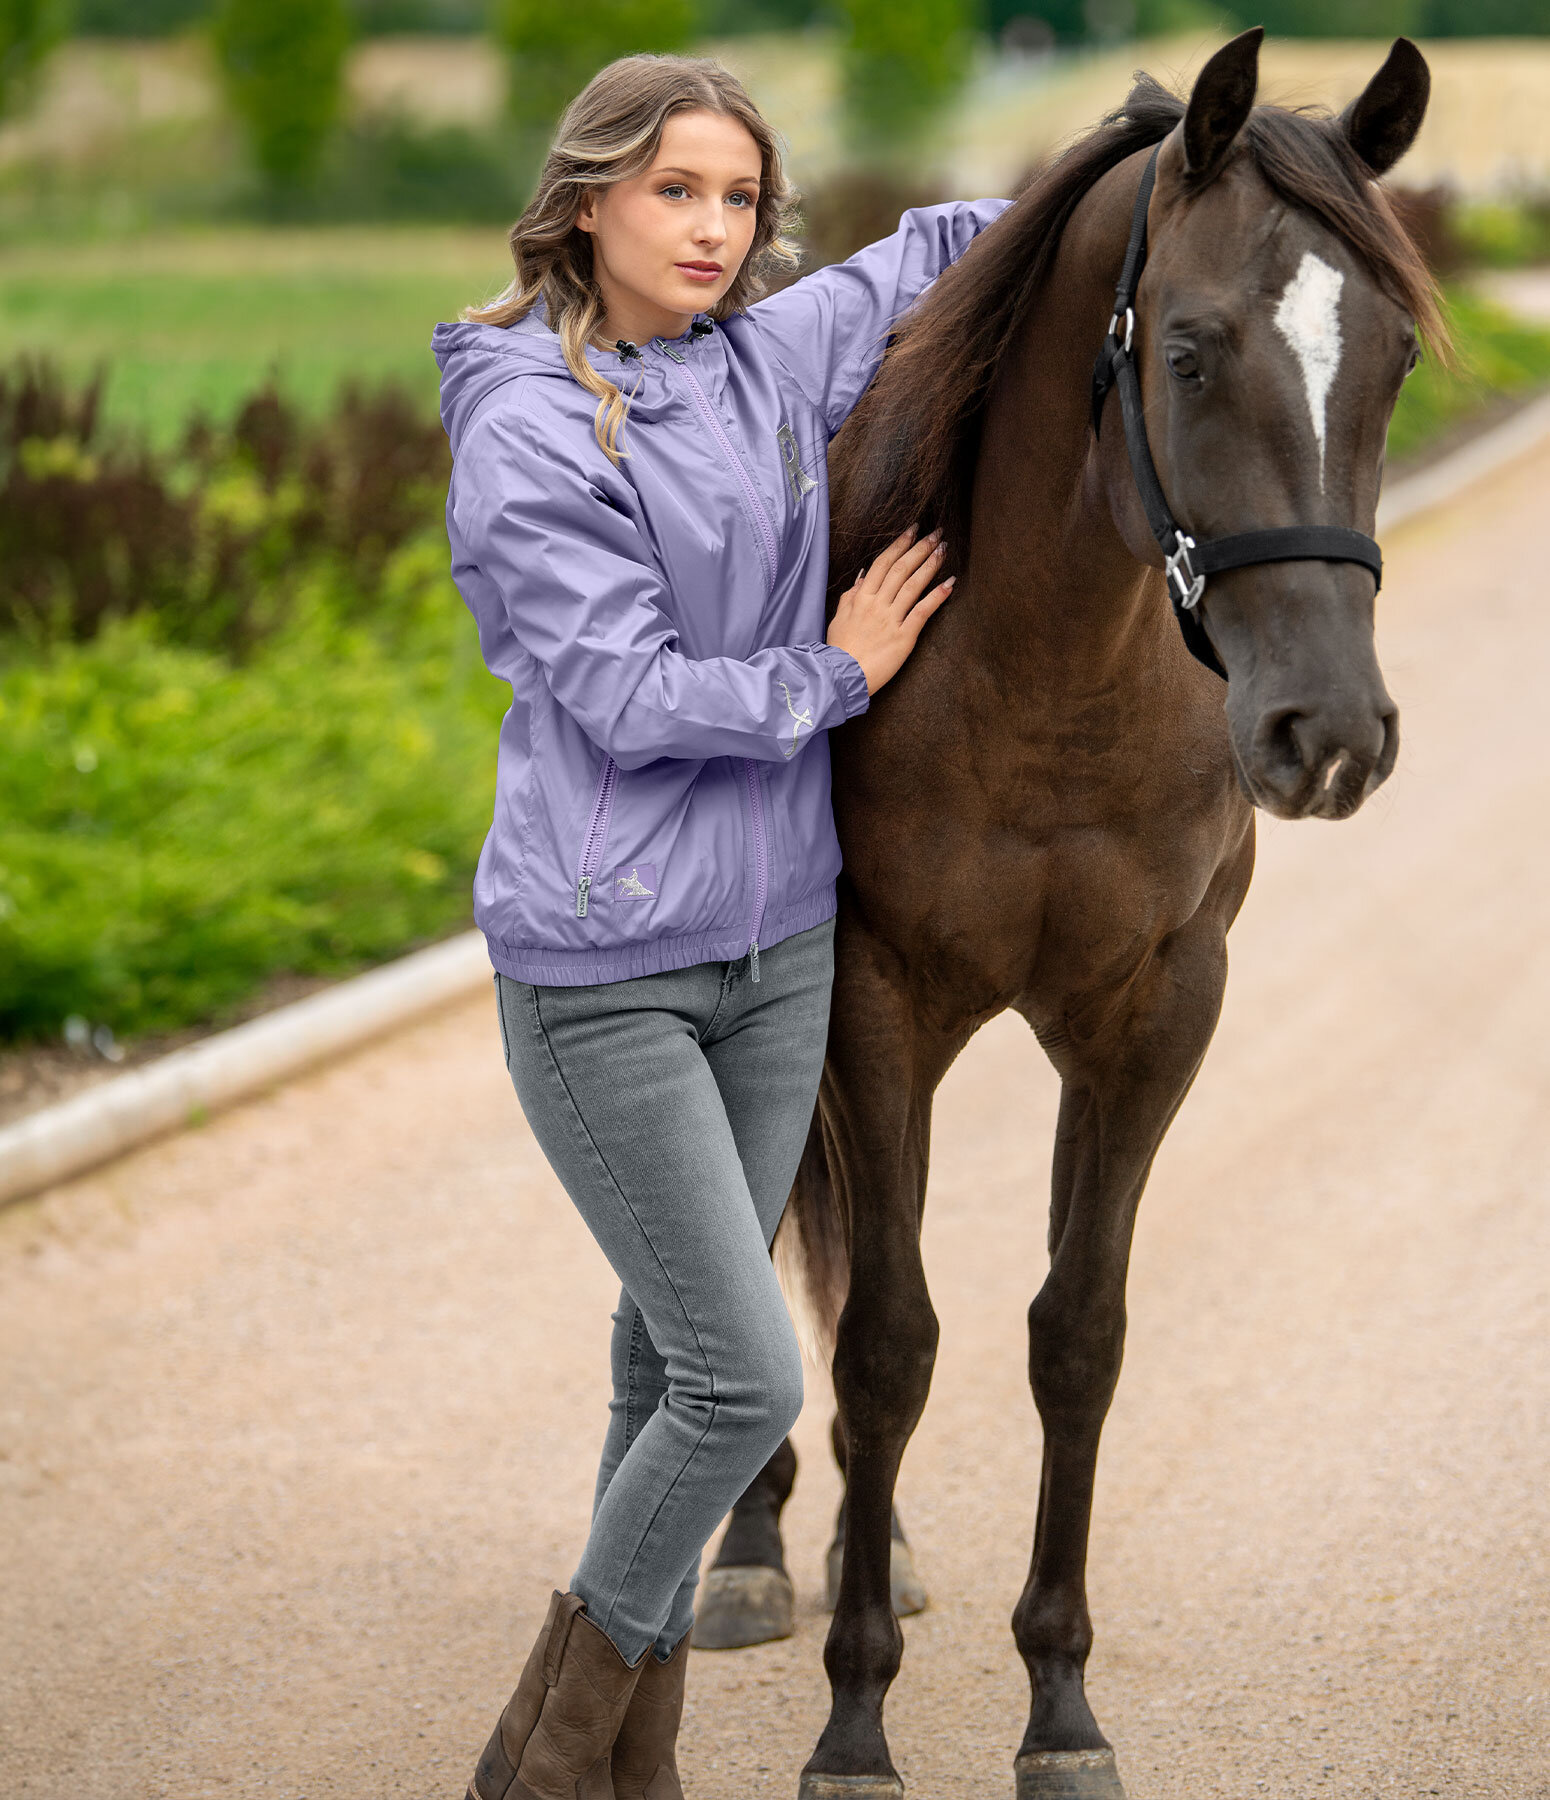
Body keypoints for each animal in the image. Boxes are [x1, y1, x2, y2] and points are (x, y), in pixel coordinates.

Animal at [702, 31, 1440, 1800]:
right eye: (1187, 351)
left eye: (1389, 359)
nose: (1328, 735)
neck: (1042, 671)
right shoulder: (870, 1003)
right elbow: (888, 1345)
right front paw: (853, 1722)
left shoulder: (1153, 1012)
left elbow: (1074, 1338)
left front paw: (1058, 1705)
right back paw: (756, 1550)